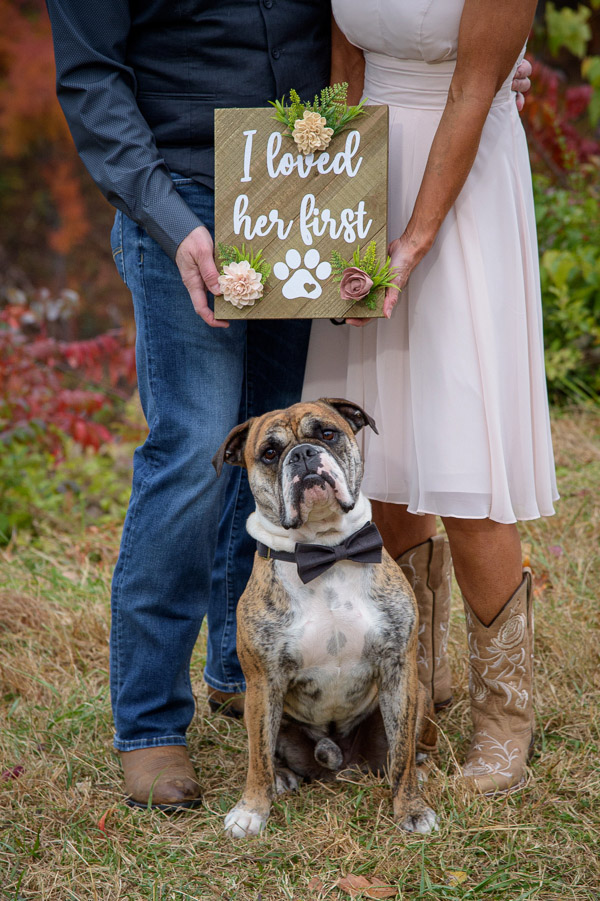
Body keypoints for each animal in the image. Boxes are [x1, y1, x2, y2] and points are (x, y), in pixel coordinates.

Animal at [213, 400, 438, 836]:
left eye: (328, 434)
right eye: (269, 453)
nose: (303, 454)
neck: (326, 553)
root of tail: (342, 761)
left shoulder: (399, 669)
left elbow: (402, 752)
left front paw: (411, 808)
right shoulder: (263, 682)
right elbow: (257, 758)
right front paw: (251, 809)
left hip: (419, 693)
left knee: (399, 755)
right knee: (268, 751)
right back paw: (283, 777)